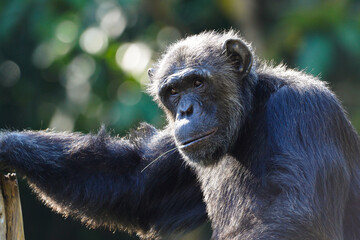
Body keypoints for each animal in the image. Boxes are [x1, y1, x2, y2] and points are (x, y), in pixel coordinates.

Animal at [0, 31, 360, 239]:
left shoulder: (302, 112)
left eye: (197, 83)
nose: (186, 110)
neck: (249, 115)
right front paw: (6, 147)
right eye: (172, 91)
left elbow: (291, 216)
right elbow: (133, 183)